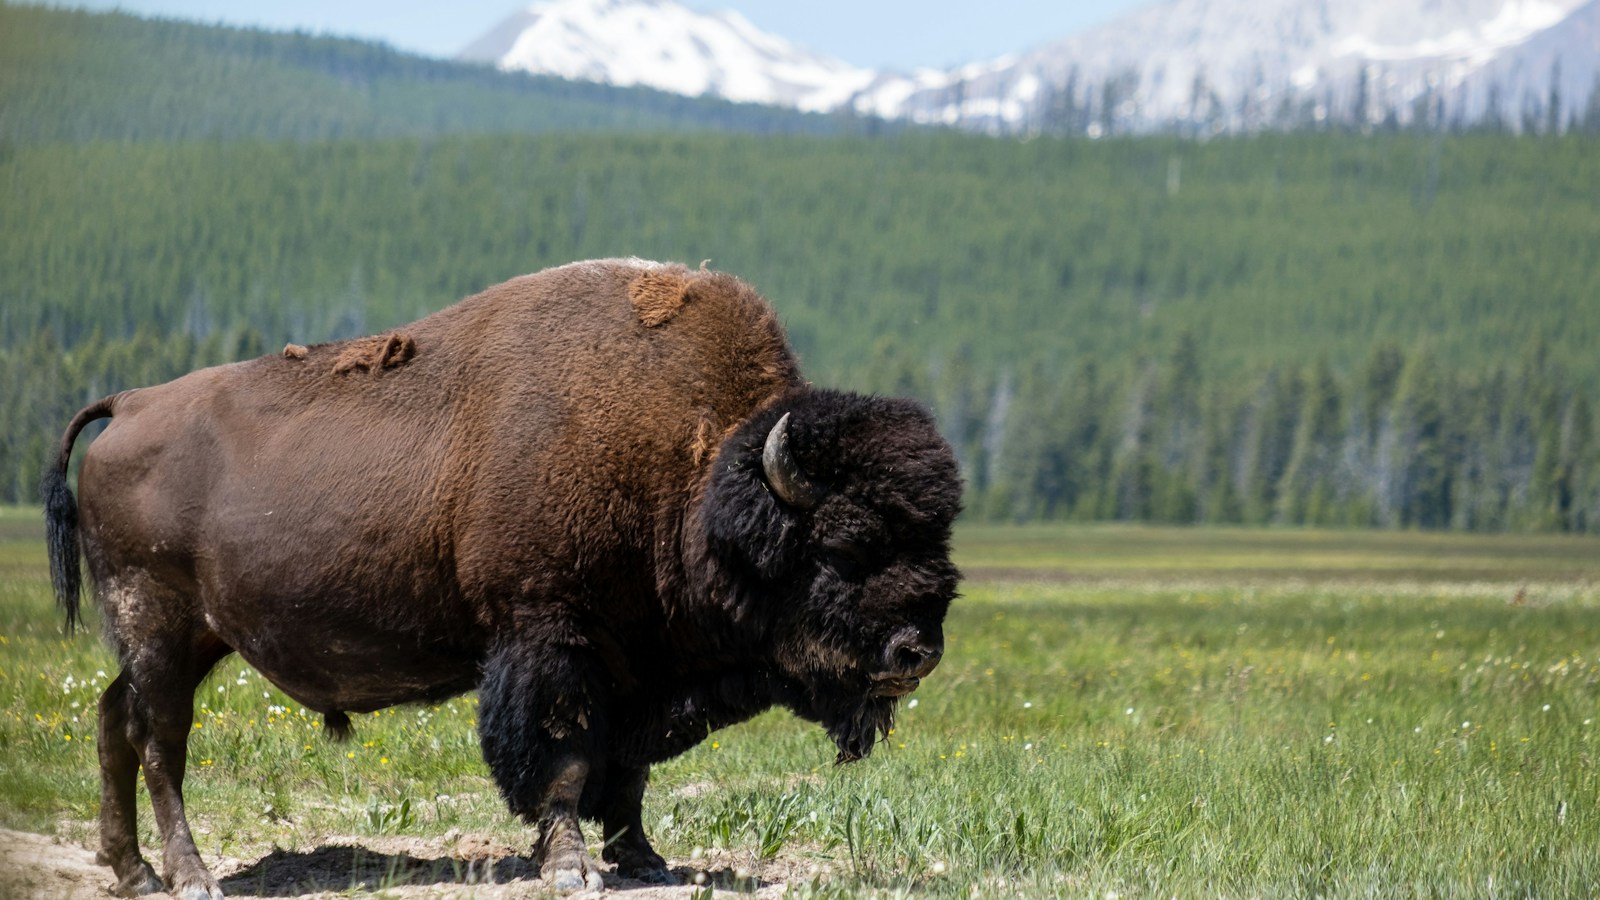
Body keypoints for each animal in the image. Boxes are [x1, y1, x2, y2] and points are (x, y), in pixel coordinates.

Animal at [43, 259, 962, 897]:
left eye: (939, 538)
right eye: (842, 547)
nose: (917, 651)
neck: (697, 478)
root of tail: (129, 405)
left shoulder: (641, 667)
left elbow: (628, 772)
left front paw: (644, 858)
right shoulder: (548, 637)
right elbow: (565, 761)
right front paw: (570, 867)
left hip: (187, 639)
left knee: (114, 720)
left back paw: (131, 871)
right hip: (159, 625)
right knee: (160, 743)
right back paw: (190, 875)